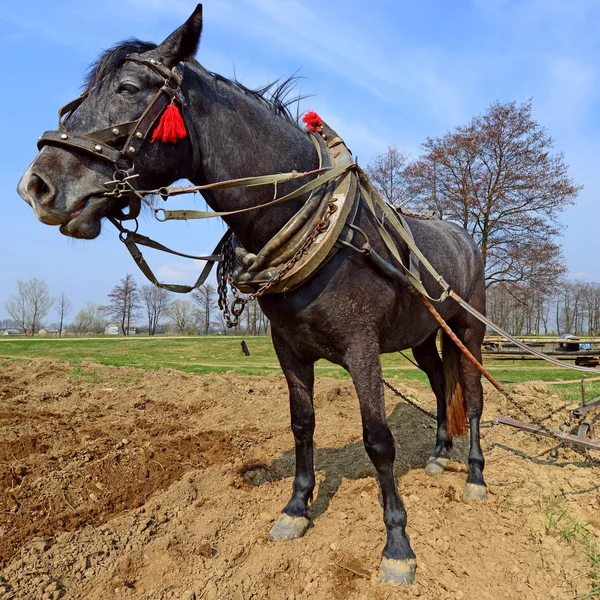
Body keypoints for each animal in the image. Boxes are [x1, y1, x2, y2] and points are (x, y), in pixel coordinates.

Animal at [17, 3, 488, 584]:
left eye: (128, 88)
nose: (35, 186)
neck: (317, 222)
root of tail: (463, 236)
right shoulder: (288, 348)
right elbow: (302, 425)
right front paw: (296, 509)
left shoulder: (362, 349)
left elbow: (378, 440)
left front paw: (397, 545)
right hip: (423, 336)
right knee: (442, 384)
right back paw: (440, 454)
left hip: (469, 329)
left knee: (473, 393)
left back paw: (474, 476)